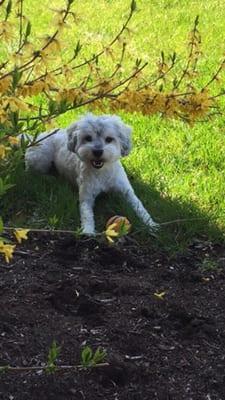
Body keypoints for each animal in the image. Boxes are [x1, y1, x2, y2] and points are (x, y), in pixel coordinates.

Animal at [24, 113, 158, 234]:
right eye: (88, 138)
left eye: (109, 139)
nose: (97, 151)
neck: (102, 172)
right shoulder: (86, 196)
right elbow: (86, 214)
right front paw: (88, 231)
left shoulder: (127, 192)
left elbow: (139, 206)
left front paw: (150, 224)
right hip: (40, 158)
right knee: (32, 172)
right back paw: (50, 178)